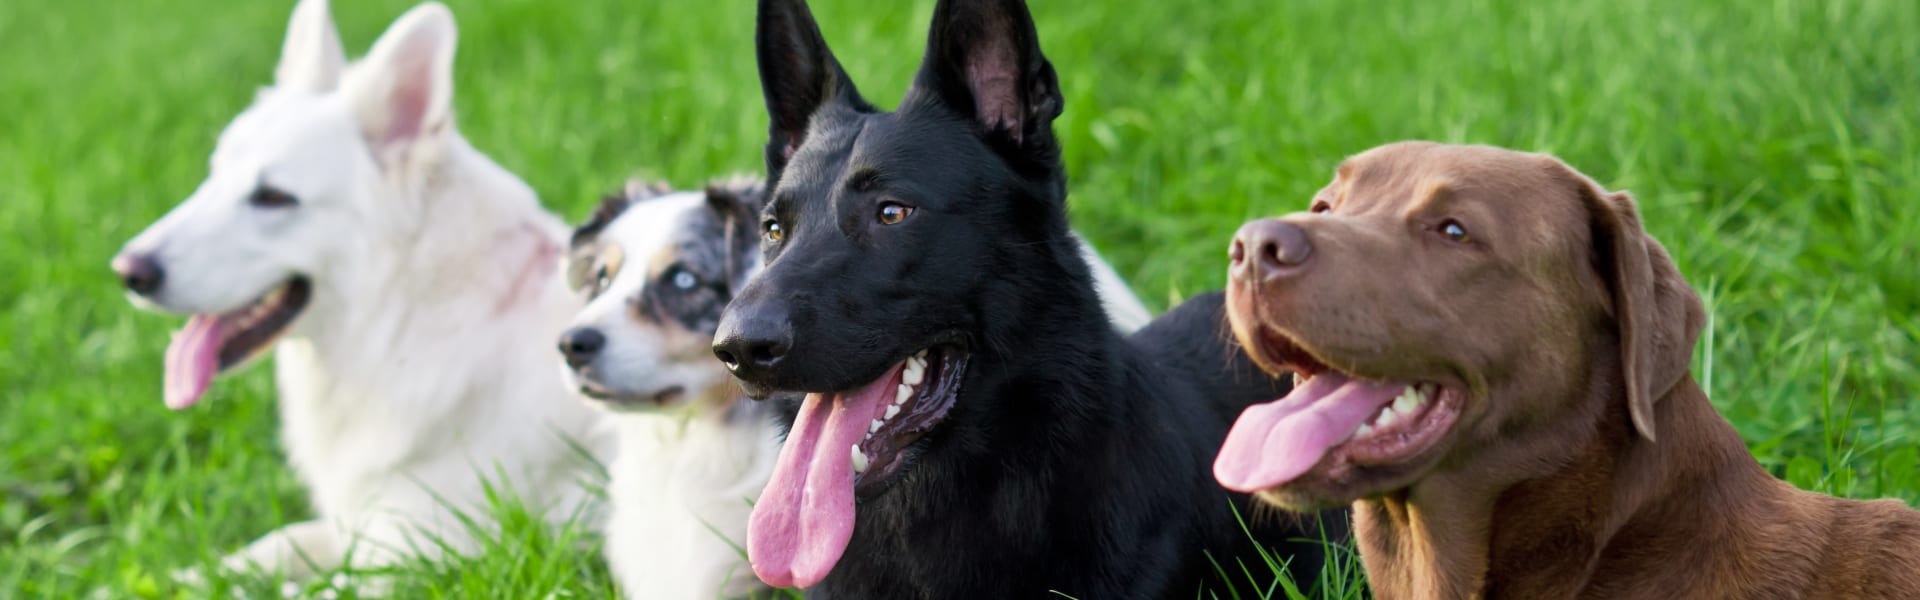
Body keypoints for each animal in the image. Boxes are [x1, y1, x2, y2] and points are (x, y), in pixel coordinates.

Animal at [112, 0, 606, 580]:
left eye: (273, 197)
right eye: (213, 176)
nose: (128, 270)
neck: (406, 314)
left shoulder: (420, 560)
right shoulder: (353, 530)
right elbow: (265, 548)